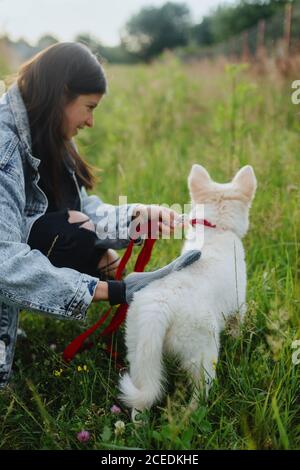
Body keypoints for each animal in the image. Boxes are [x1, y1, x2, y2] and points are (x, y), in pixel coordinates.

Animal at [118, 164, 256, 412]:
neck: (217, 230)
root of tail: (159, 308)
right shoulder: (238, 305)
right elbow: (237, 328)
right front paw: (239, 343)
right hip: (202, 353)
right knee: (199, 392)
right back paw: (192, 414)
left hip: (139, 350)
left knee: (142, 397)